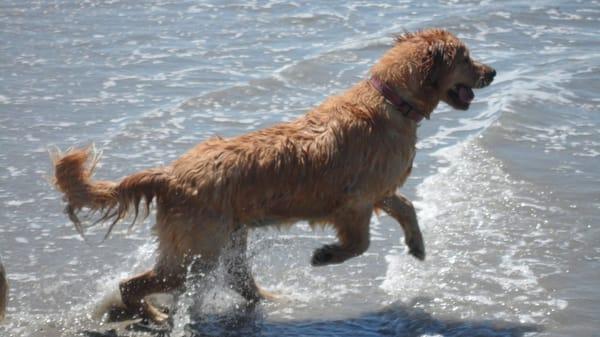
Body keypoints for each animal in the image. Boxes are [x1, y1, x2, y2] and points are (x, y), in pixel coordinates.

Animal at [51, 29, 494, 322]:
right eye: (466, 58)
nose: (492, 71)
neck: (390, 99)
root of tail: (170, 174)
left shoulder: (380, 189)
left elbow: (407, 206)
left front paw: (416, 245)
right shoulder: (354, 202)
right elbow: (361, 243)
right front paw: (326, 255)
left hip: (227, 242)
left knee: (240, 283)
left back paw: (271, 300)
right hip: (197, 251)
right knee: (133, 284)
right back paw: (153, 315)